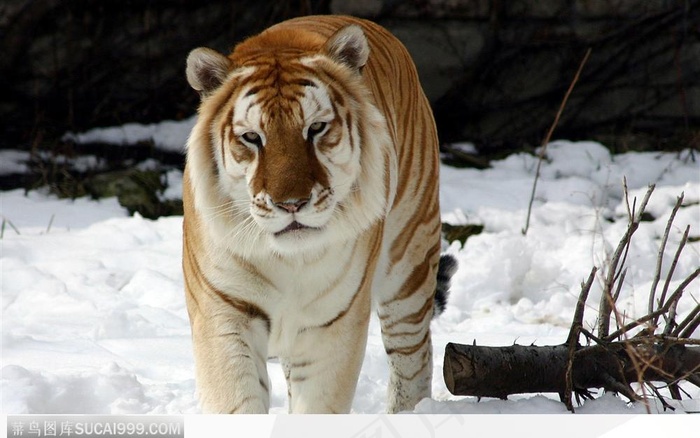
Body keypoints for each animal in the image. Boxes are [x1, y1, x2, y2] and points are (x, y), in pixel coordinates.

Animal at [182, 14, 454, 414]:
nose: (291, 204)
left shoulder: (332, 323)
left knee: (412, 357)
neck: (287, 260)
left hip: (410, 261)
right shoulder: (224, 313)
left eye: (316, 128)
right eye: (252, 138)